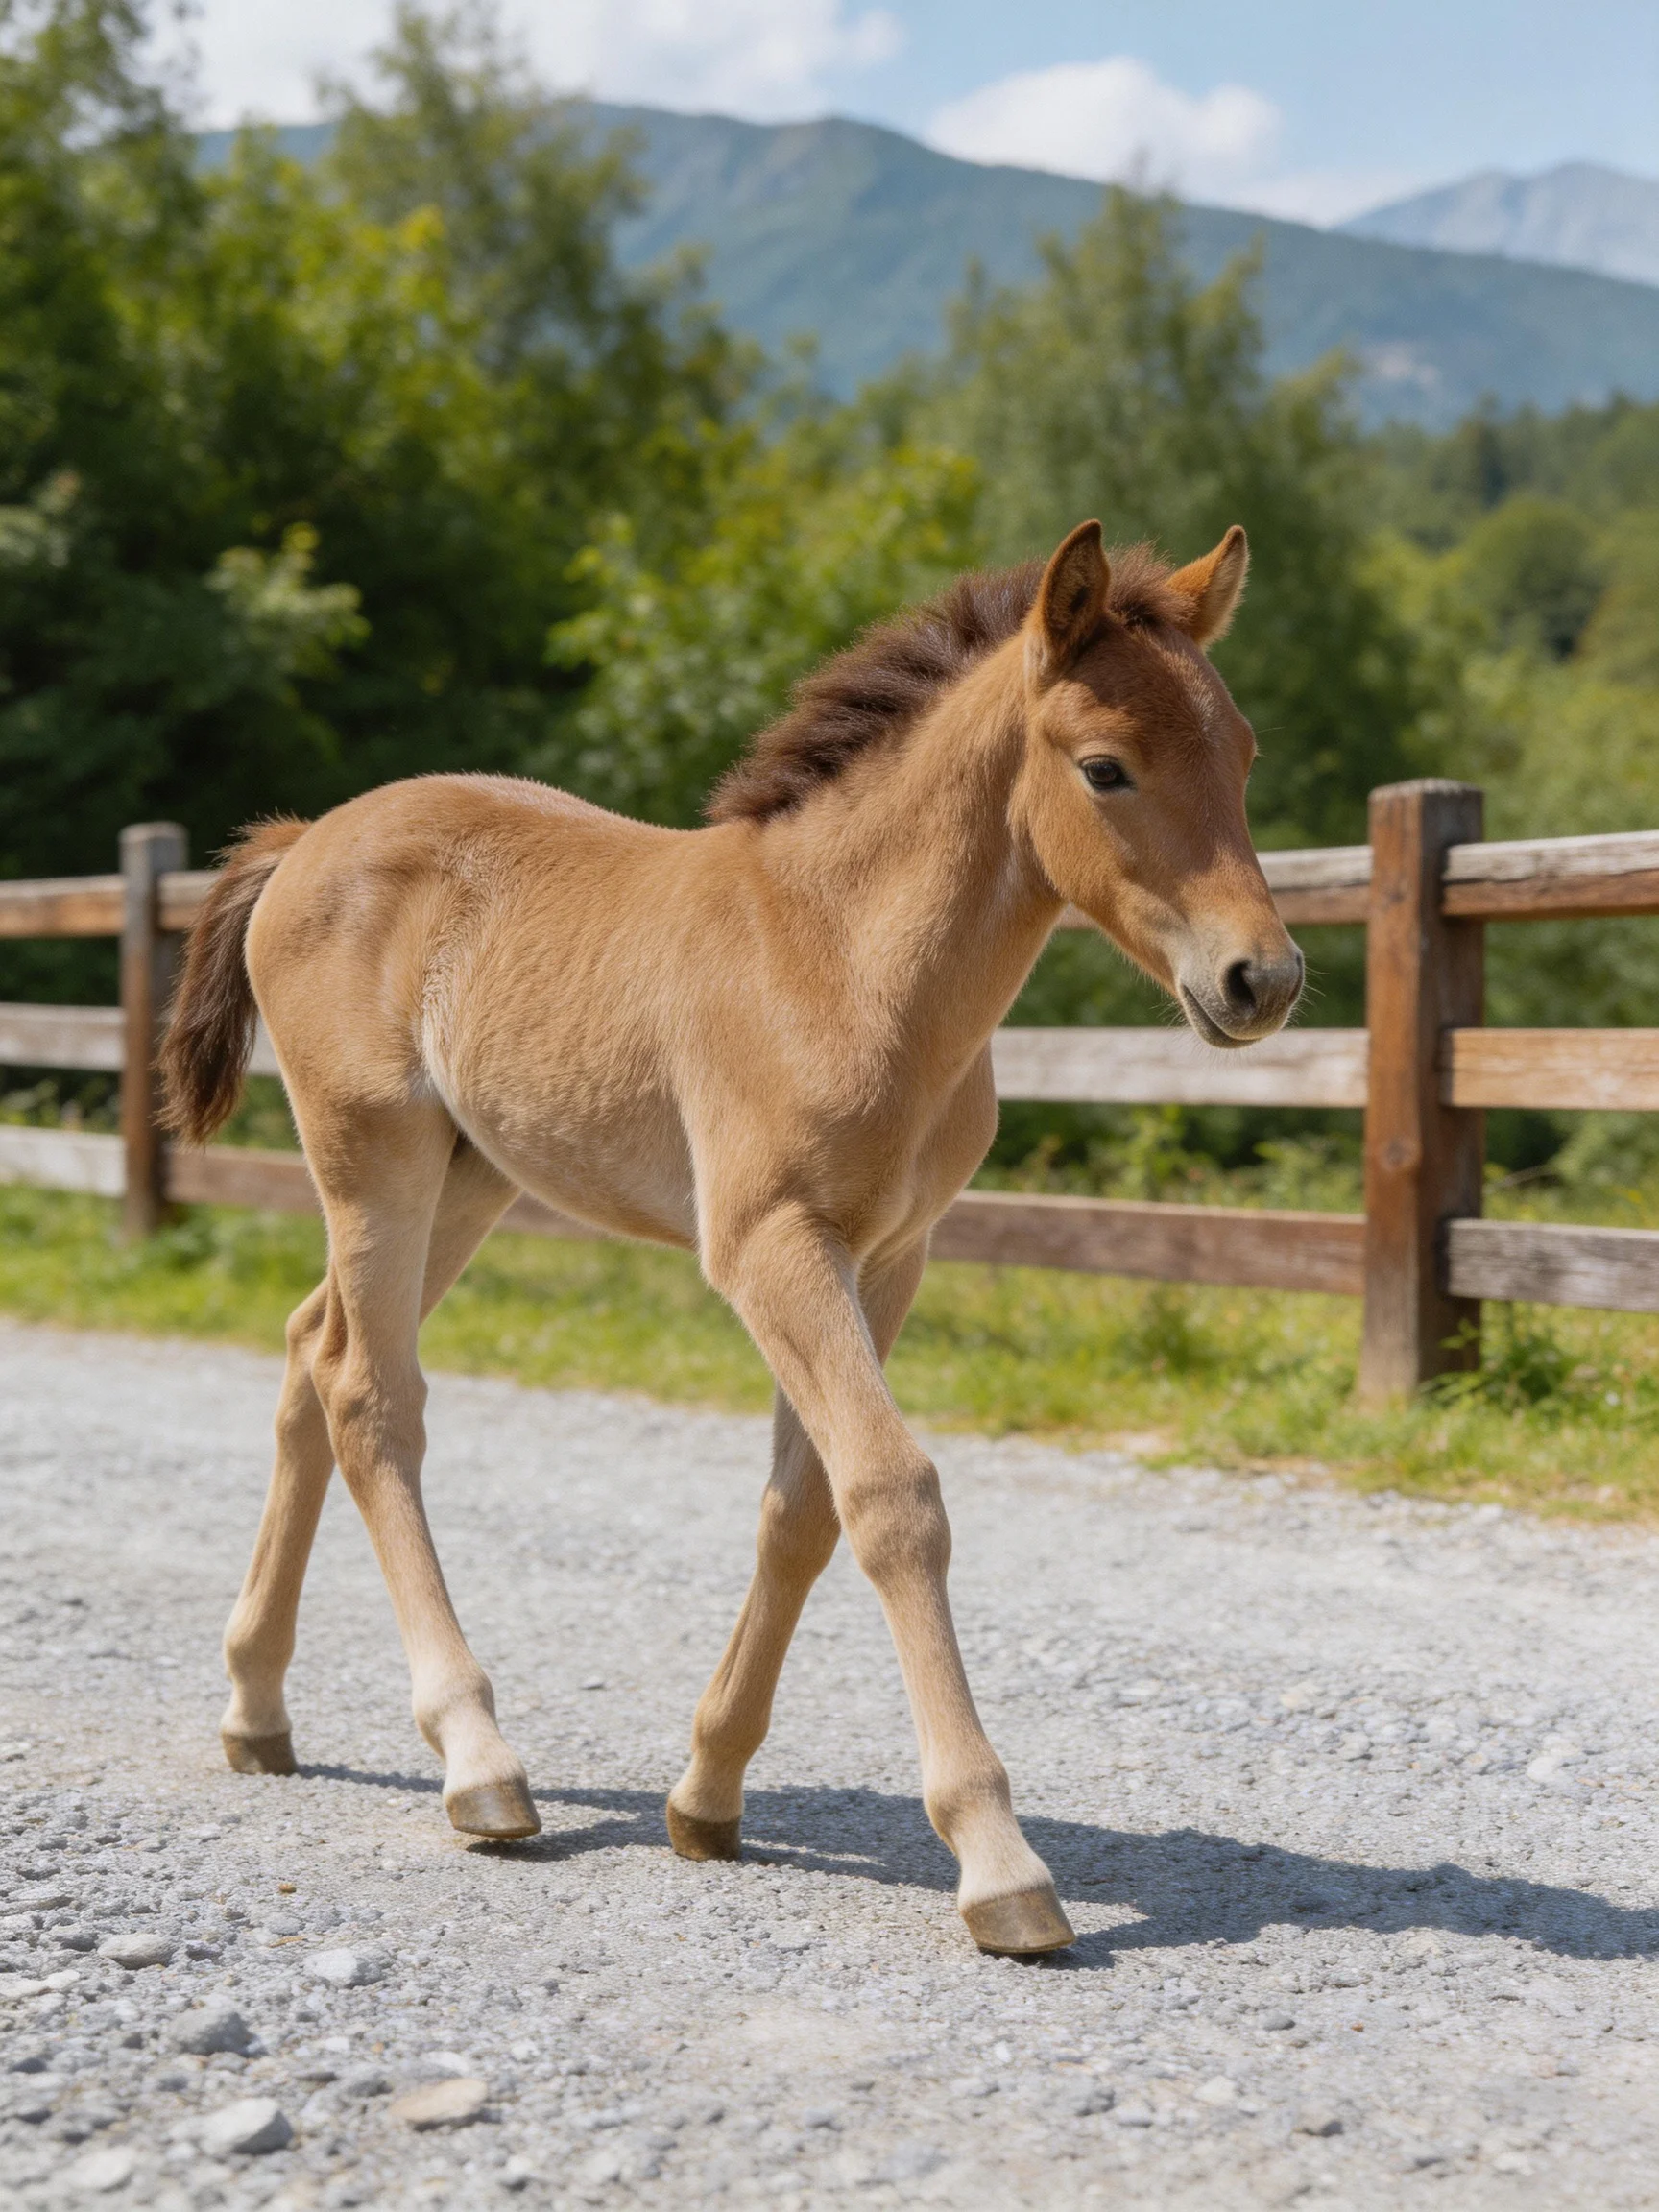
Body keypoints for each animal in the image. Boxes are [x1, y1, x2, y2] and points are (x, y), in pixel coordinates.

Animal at [160, 519, 1302, 1956]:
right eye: (1106, 766)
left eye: (1245, 751)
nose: (1262, 980)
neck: (844, 957)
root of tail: (309, 837)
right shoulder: (770, 1247)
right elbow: (893, 1497)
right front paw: (999, 1862)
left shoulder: (888, 1256)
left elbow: (802, 1509)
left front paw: (705, 1797)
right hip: (375, 1159)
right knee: (372, 1397)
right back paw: (478, 1764)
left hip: (470, 1179)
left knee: (312, 1354)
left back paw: (256, 1710)